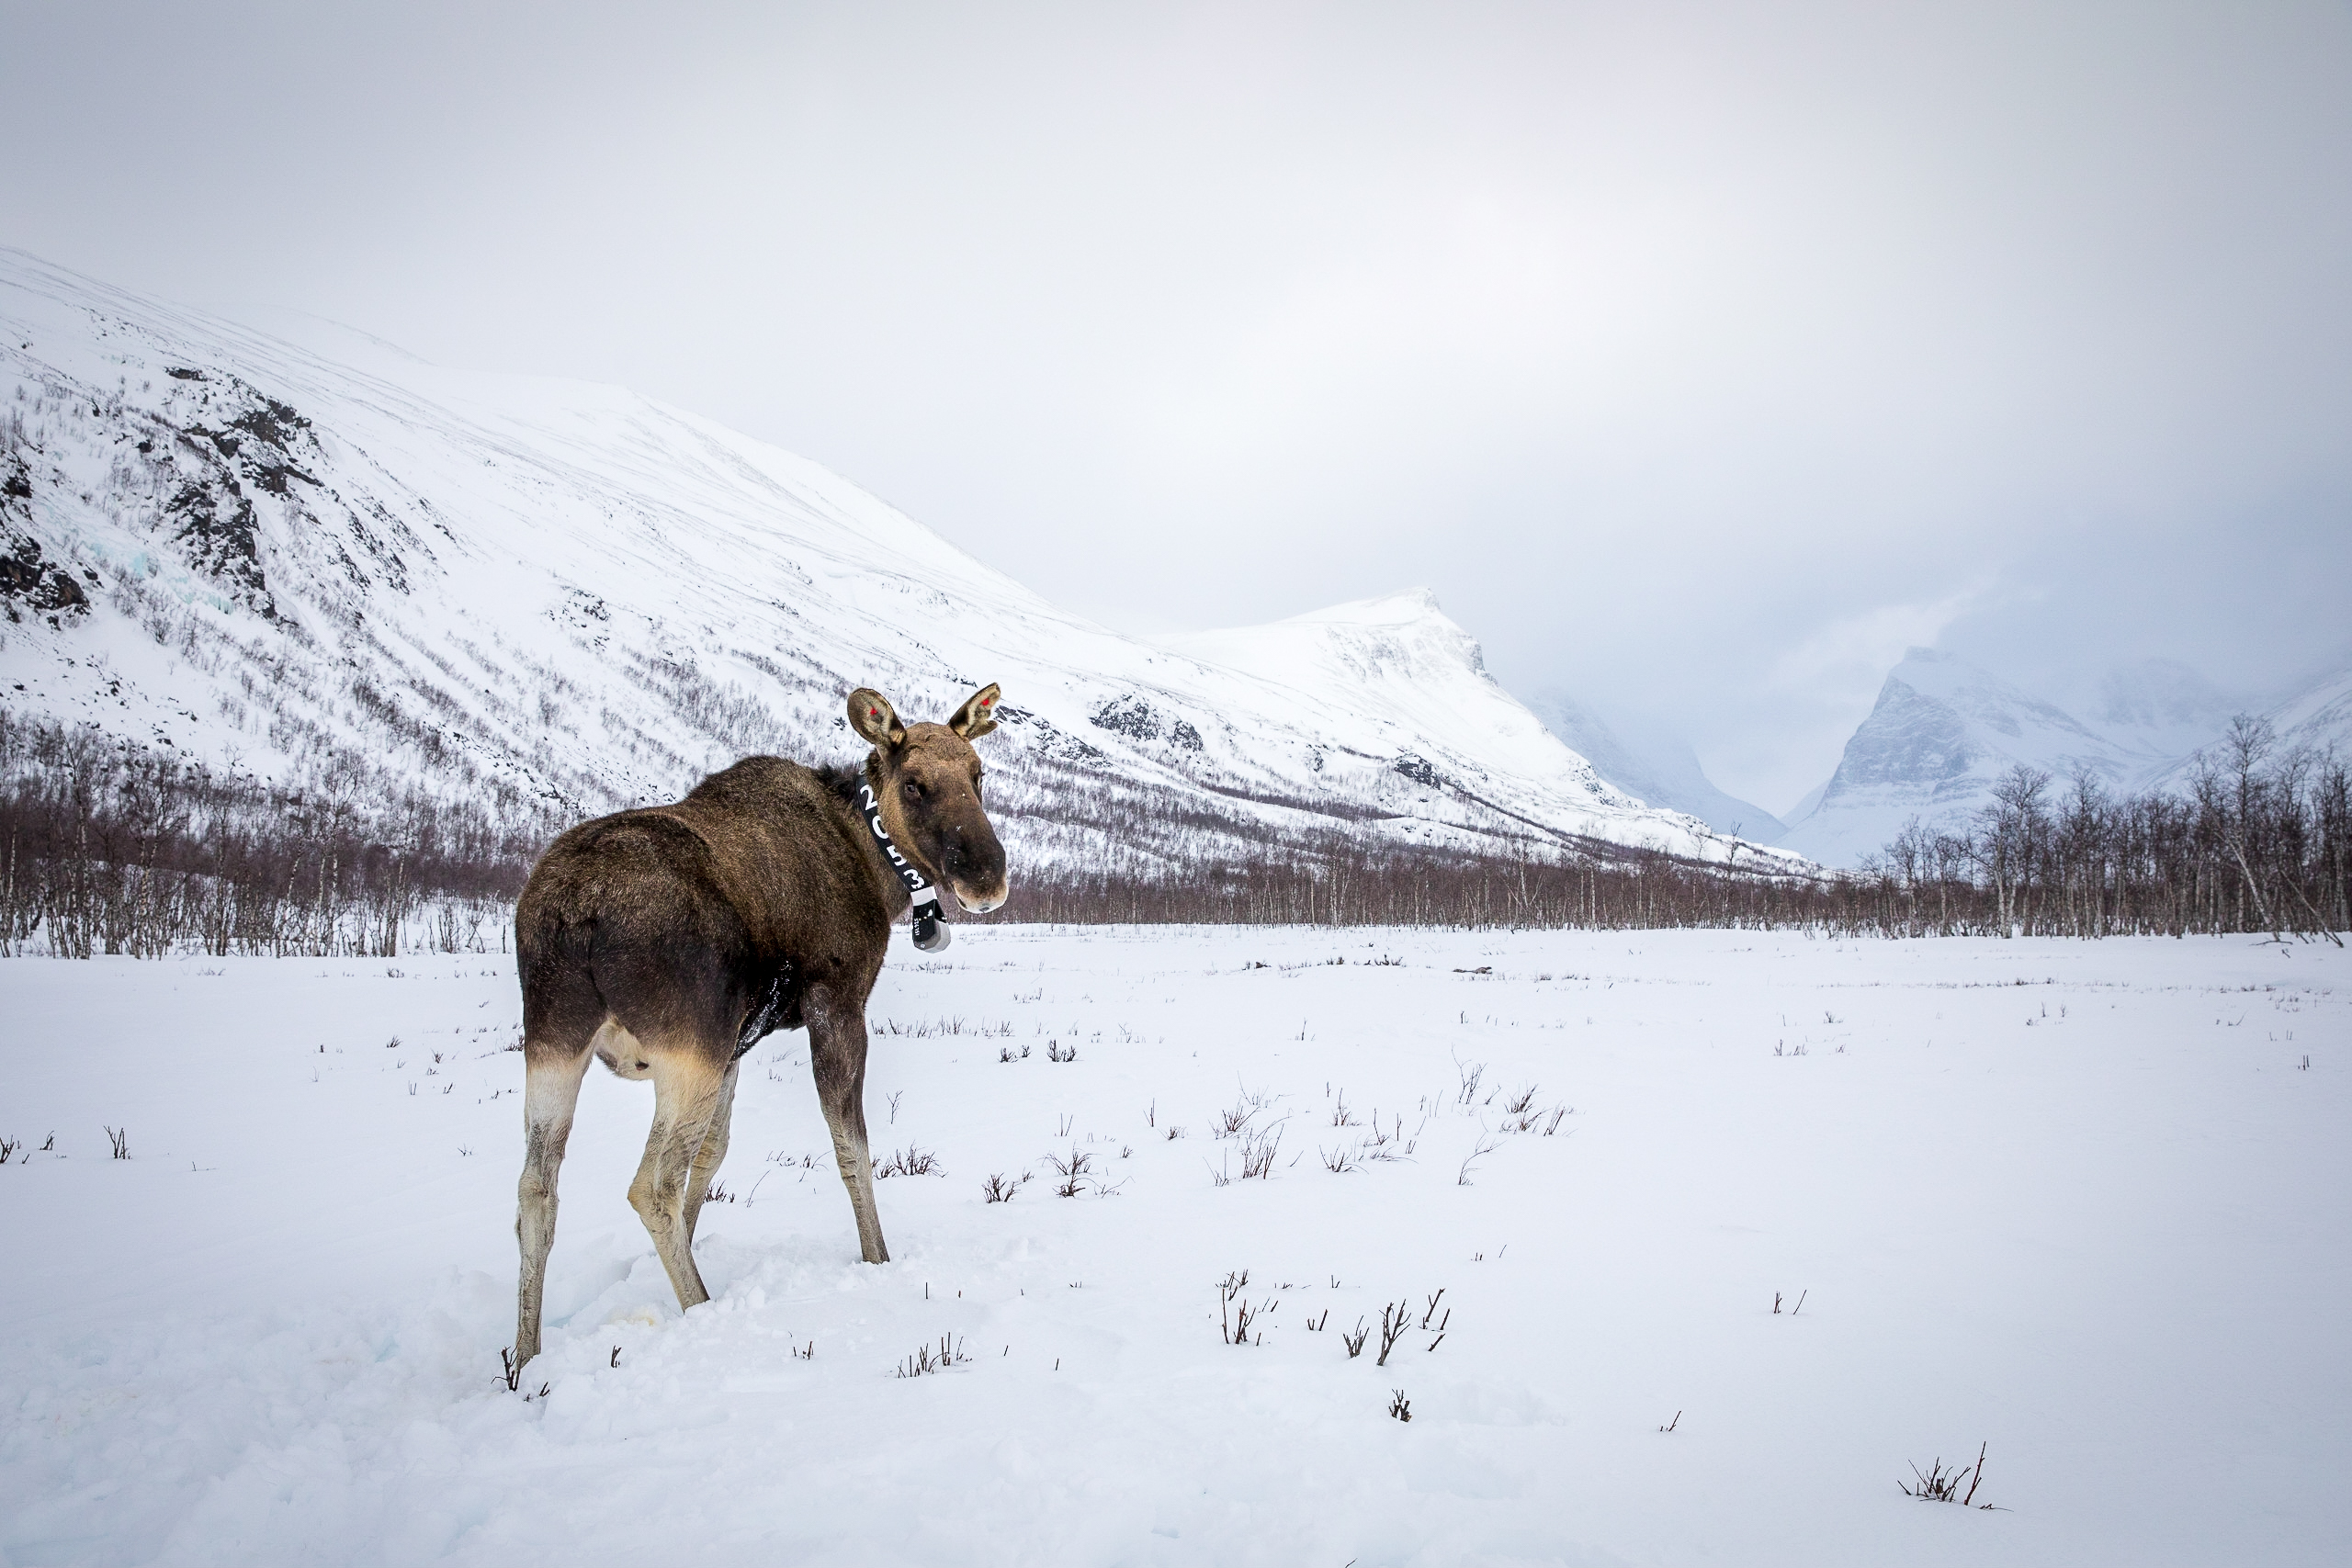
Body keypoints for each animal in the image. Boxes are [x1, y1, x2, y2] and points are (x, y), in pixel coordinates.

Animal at [509, 683, 1007, 1369]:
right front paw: (878, 1259)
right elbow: (852, 1148)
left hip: (555, 1038)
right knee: (650, 1185)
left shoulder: (736, 1046)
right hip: (685, 1046)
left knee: (537, 1189)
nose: (988, 876)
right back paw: (700, 1308)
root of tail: (575, 916)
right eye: (915, 784)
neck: (875, 868)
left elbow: (714, 1153)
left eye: (978, 774)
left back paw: (525, 1356)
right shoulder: (835, 1005)